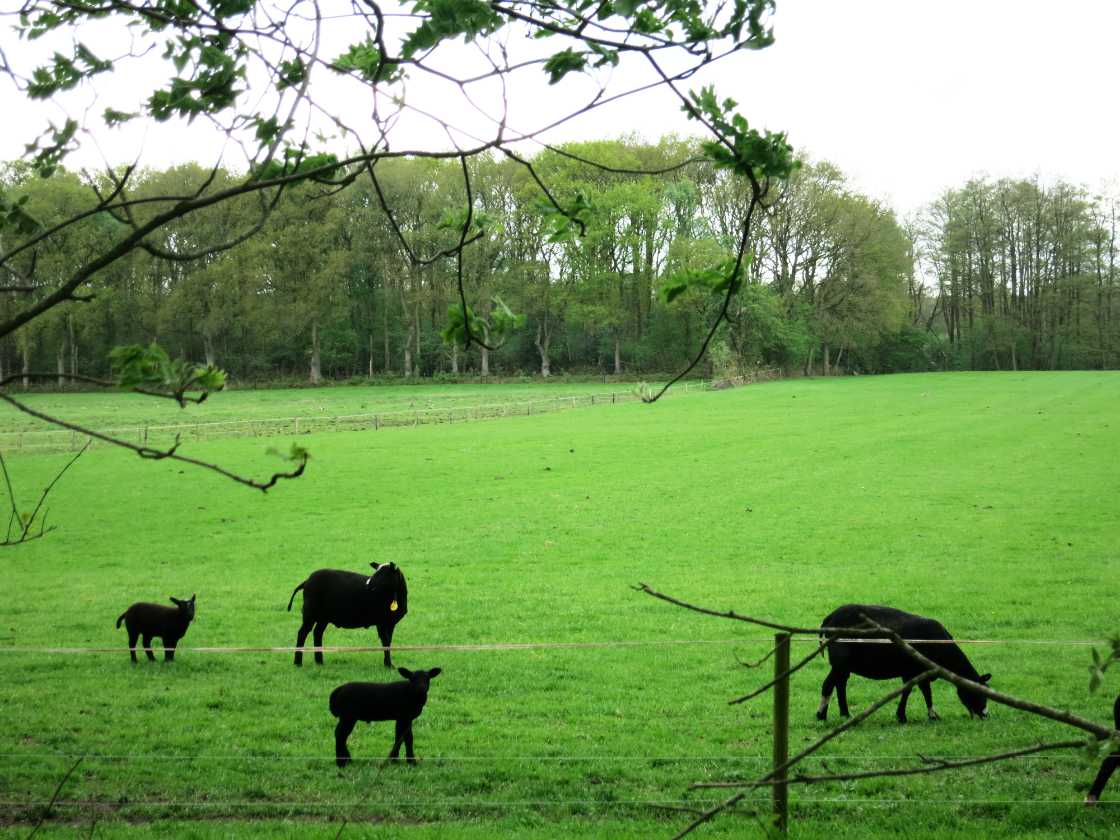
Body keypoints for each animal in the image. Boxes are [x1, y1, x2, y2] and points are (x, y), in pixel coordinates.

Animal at [815, 604, 990, 725]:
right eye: (978, 693)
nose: (985, 715)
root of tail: (828, 619)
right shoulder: (913, 670)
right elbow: (909, 690)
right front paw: (903, 716)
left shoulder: (922, 670)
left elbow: (925, 692)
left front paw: (931, 715)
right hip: (840, 661)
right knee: (828, 684)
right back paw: (821, 715)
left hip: (844, 665)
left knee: (840, 684)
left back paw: (845, 714)